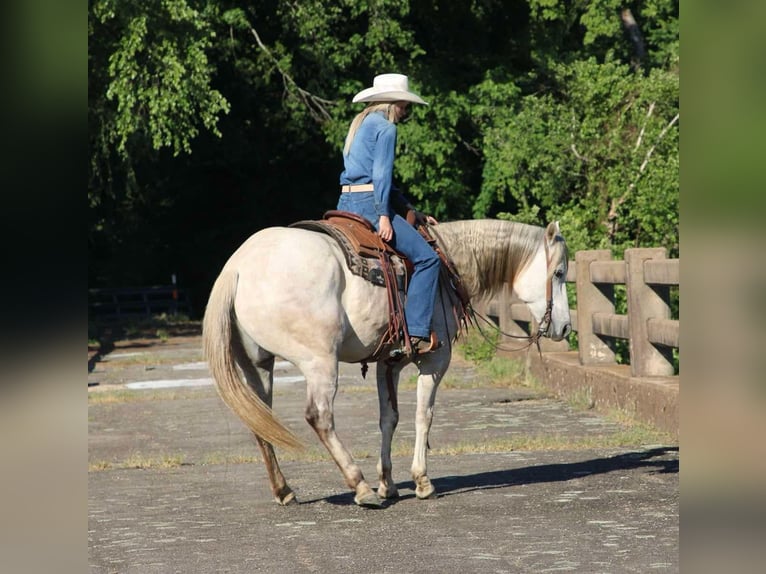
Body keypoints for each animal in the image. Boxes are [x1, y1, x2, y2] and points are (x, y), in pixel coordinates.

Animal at [202, 218, 571, 507]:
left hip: (258, 364)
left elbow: (388, 419)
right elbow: (424, 416)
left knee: (260, 419)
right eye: (559, 273)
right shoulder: (435, 359)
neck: (447, 264)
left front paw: (389, 483)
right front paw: (421, 481)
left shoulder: (388, 363)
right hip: (320, 362)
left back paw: (285, 490)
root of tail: (238, 265)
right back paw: (360, 486)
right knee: (319, 417)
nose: (566, 327)